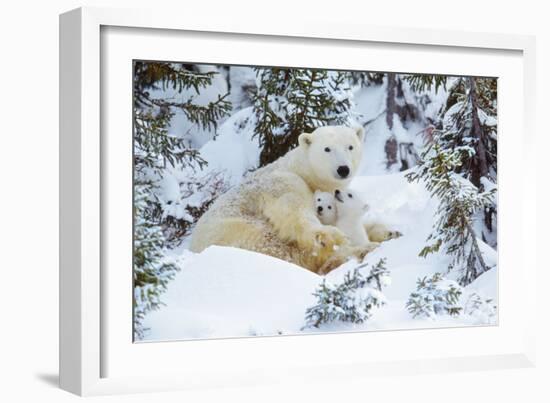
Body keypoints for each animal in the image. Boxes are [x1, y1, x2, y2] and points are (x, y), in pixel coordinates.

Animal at [192, 126, 386, 274]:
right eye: (327, 149)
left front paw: (386, 231)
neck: (301, 171)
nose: (343, 169)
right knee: (279, 248)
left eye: (350, 146)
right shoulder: (283, 182)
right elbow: (294, 212)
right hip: (239, 230)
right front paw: (331, 236)